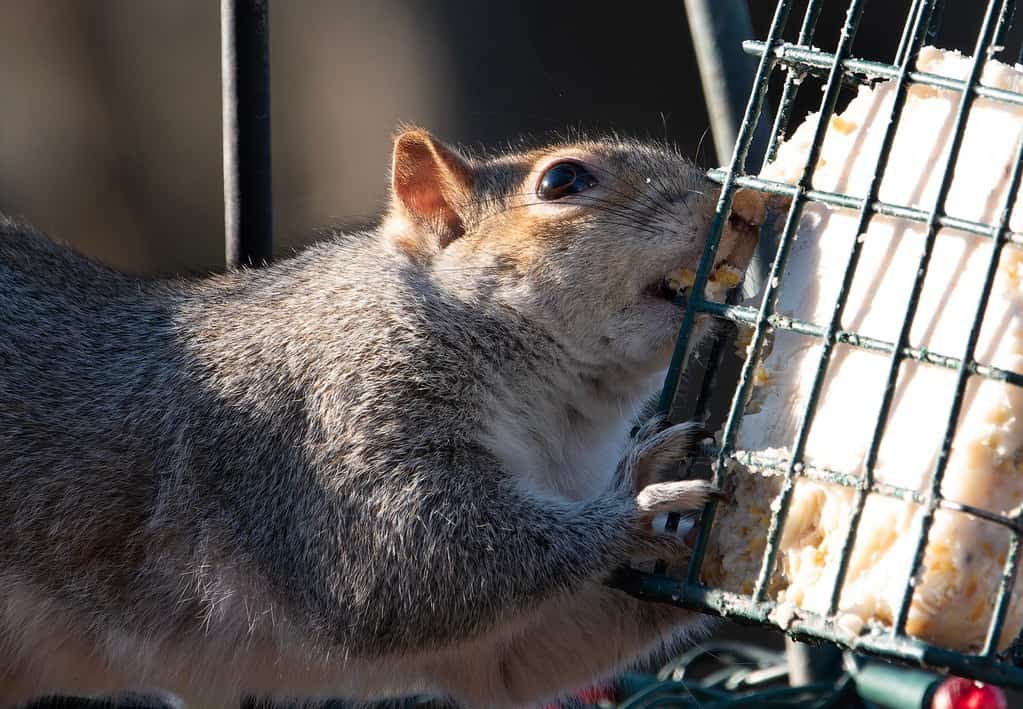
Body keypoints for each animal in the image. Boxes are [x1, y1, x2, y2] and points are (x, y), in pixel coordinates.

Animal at [0, 128, 763, 708]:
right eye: (563, 180)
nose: (739, 212)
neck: (559, 416)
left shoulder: (501, 646)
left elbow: (525, 651)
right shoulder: (326, 429)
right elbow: (406, 562)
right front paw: (643, 494)